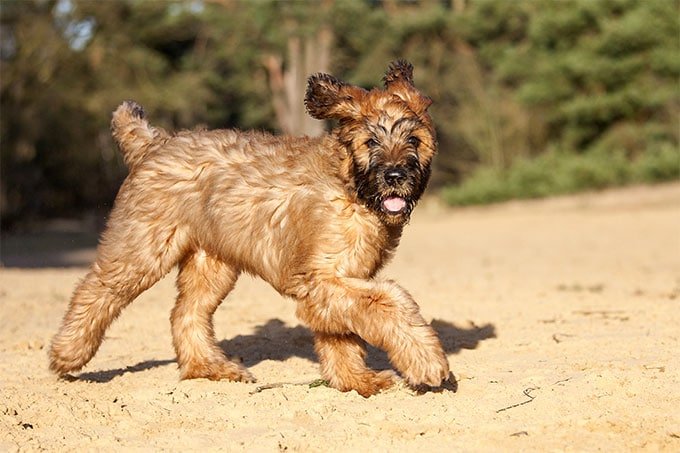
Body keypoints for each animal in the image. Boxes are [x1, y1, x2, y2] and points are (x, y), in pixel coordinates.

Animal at [49, 59, 452, 396]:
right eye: (370, 142)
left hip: (212, 264)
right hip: (143, 247)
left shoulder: (335, 284)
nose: (395, 176)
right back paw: (68, 354)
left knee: (185, 313)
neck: (348, 186)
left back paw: (210, 367)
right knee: (95, 290)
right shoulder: (321, 279)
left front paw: (356, 380)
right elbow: (392, 301)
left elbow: (342, 337)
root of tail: (157, 143)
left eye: (413, 140)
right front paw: (428, 362)